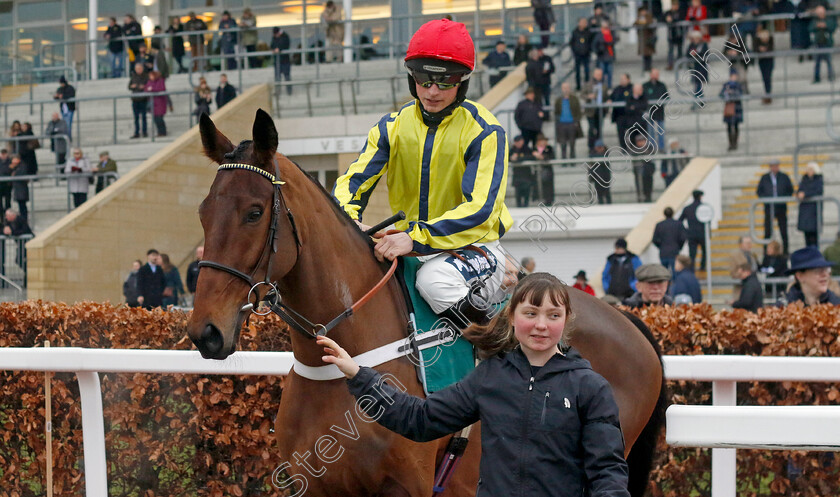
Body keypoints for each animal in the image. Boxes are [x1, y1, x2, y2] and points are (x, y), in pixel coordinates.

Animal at [187, 109, 668, 496]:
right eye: (203, 212)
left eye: (254, 212)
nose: (205, 332)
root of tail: (629, 322)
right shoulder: (315, 486)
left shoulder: (407, 486)